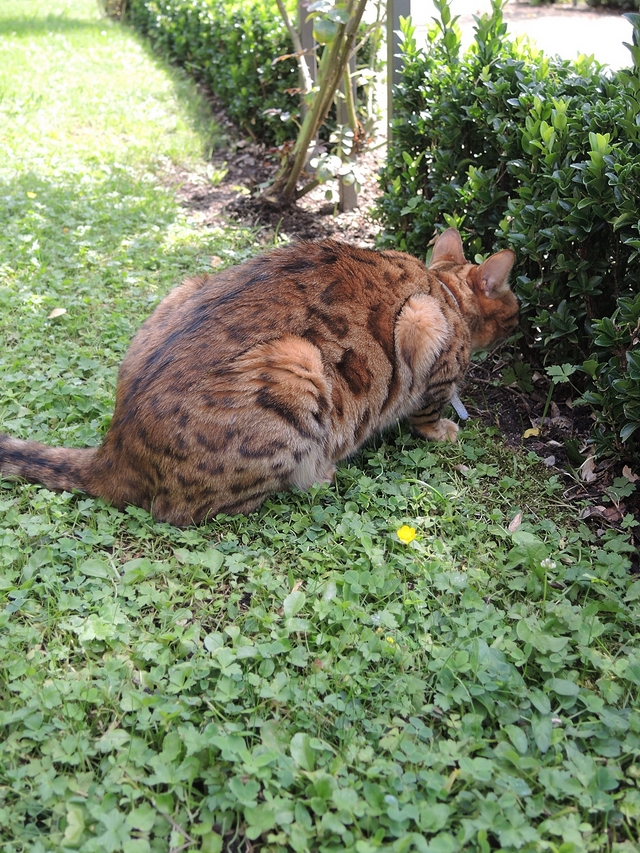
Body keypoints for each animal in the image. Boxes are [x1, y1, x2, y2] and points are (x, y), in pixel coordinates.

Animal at [0, 230, 516, 528]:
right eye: (515, 308)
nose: (521, 323)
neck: (443, 287)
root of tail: (113, 449)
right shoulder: (423, 324)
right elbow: (428, 411)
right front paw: (444, 429)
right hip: (297, 366)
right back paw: (321, 473)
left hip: (189, 286)